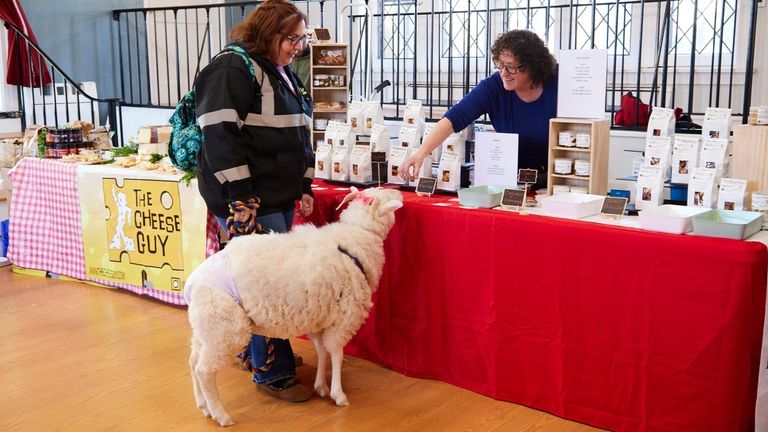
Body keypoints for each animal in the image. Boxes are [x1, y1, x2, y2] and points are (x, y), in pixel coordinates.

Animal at [188, 186, 402, 426]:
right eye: (385, 198)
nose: (400, 193)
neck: (358, 236)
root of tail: (193, 282)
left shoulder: (320, 317)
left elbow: (322, 352)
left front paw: (321, 386)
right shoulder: (343, 319)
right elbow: (336, 354)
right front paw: (338, 394)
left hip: (208, 325)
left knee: (193, 362)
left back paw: (203, 405)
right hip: (225, 328)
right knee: (204, 370)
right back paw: (220, 414)